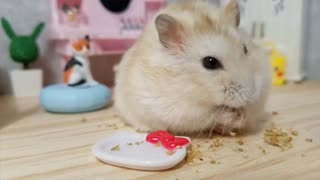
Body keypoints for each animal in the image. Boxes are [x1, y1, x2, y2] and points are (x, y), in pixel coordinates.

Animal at [114, 0, 272, 135]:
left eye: (245, 49)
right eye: (210, 62)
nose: (250, 97)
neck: (194, 86)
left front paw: (243, 116)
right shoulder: (184, 111)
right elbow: (210, 115)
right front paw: (233, 116)